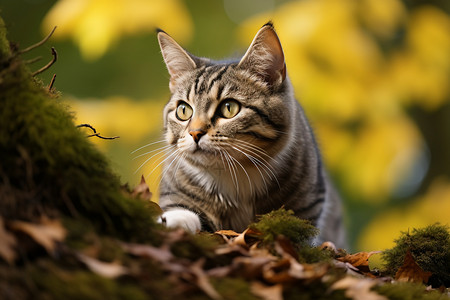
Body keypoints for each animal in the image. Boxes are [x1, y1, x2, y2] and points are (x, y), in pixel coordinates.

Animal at [154, 21, 344, 248]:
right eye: (183, 110)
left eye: (229, 108)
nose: (194, 132)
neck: (236, 176)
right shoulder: (174, 188)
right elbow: (181, 208)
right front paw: (174, 219)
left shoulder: (311, 200)